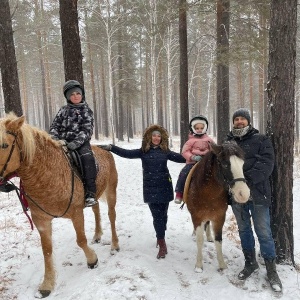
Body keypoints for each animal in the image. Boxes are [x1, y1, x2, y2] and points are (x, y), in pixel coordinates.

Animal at [0, 113, 119, 298]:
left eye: (5, 145)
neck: (47, 175)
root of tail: (105, 149)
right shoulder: (41, 220)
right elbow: (47, 251)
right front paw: (47, 284)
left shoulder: (76, 213)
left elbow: (81, 240)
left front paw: (92, 260)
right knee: (96, 208)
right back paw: (98, 235)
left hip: (111, 190)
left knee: (111, 215)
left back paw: (114, 245)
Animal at [184, 141, 250, 272]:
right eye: (225, 164)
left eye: (242, 164)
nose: (244, 194)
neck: (209, 192)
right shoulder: (197, 216)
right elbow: (200, 239)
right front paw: (199, 266)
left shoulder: (219, 216)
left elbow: (218, 239)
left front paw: (222, 265)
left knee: (208, 223)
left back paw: (209, 235)